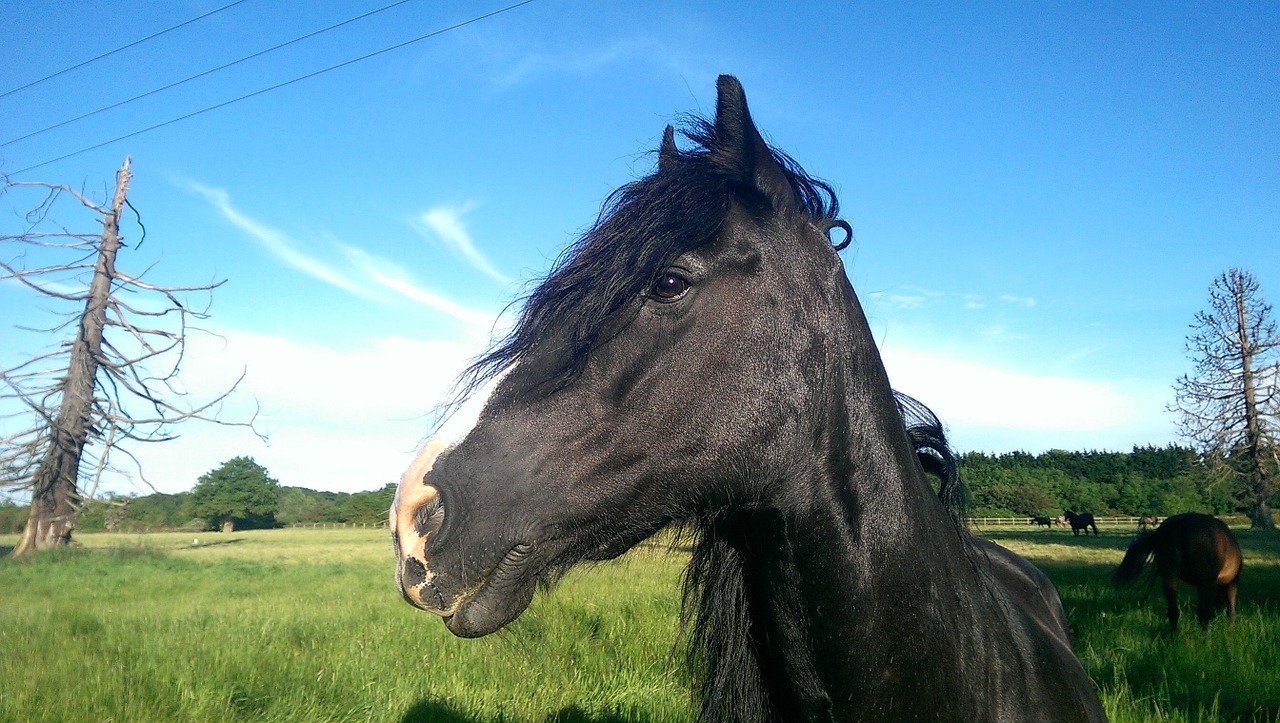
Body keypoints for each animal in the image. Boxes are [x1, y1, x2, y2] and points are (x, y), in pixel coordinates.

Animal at [1111, 509, 1239, 629]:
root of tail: (1178, 526)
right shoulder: (1231, 583)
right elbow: (1231, 610)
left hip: (1170, 577)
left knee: (1174, 611)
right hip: (1205, 581)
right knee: (1203, 612)